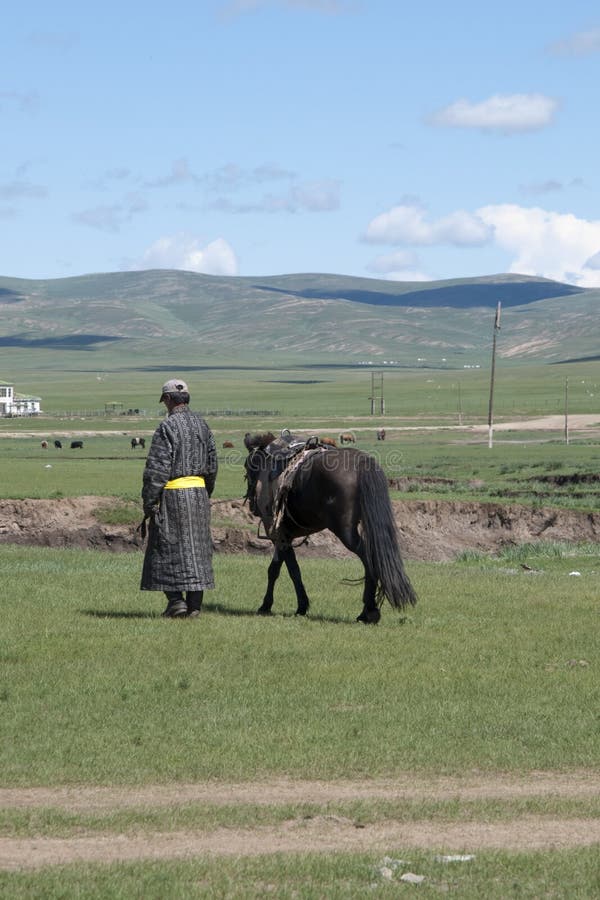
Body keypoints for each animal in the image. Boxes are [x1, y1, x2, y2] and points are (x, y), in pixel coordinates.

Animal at [241, 432, 414, 624]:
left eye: (248, 466)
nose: (252, 505)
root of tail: (362, 463)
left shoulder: (279, 535)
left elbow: (285, 570)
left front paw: (277, 605)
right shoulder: (285, 536)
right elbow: (284, 569)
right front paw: (291, 605)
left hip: (345, 532)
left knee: (369, 559)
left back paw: (369, 611)